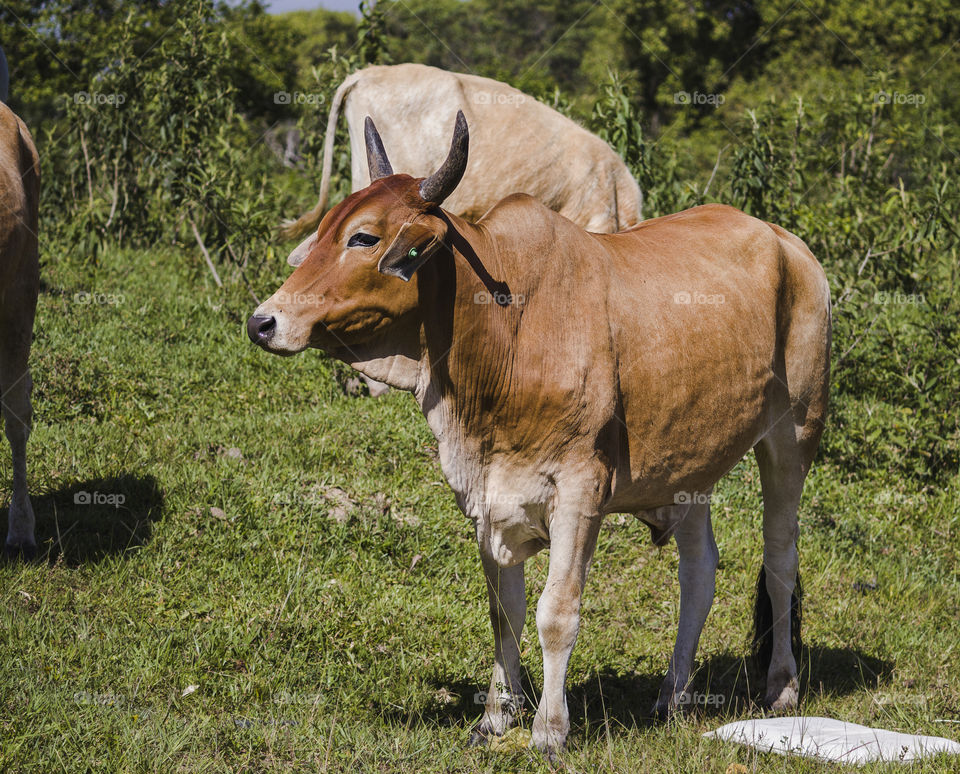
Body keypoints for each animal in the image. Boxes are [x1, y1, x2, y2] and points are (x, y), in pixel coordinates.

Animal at [248, 112, 832, 756]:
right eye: (328, 228)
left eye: (364, 238)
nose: (263, 321)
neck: (505, 330)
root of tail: (786, 242)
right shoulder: (485, 496)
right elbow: (504, 612)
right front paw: (494, 717)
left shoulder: (580, 492)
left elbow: (557, 611)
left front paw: (549, 728)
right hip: (690, 463)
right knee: (699, 572)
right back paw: (673, 697)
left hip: (794, 435)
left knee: (780, 560)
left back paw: (782, 688)